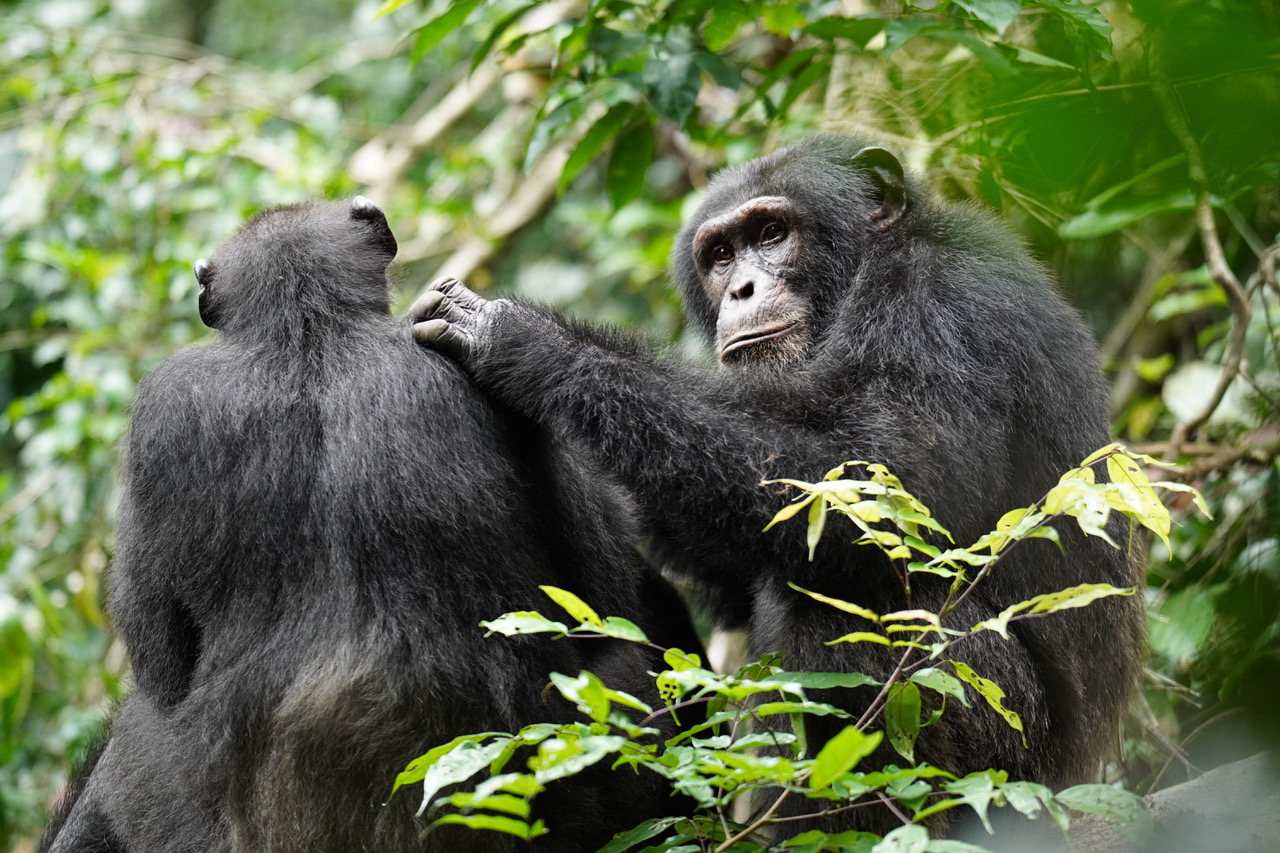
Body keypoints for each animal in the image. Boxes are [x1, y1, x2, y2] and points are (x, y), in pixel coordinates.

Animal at [412, 136, 1152, 835]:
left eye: (772, 234)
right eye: (719, 255)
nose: (741, 288)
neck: (861, 274)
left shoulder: (943, 305)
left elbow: (882, 474)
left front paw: (528, 339)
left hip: (1011, 767)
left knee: (857, 603)